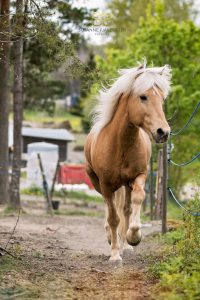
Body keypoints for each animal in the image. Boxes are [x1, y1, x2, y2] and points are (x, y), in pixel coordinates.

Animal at [83, 63, 171, 260]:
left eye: (162, 99)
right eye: (143, 96)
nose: (163, 132)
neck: (120, 144)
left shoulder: (139, 176)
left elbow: (136, 202)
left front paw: (133, 237)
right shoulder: (106, 185)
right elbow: (113, 217)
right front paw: (115, 254)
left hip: (126, 185)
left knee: (125, 209)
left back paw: (125, 244)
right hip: (99, 183)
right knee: (109, 208)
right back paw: (111, 238)